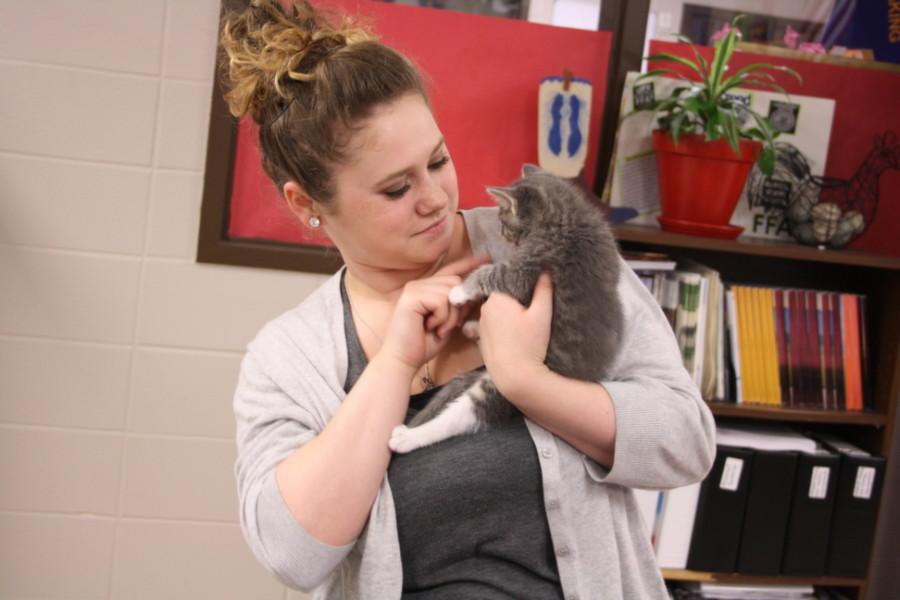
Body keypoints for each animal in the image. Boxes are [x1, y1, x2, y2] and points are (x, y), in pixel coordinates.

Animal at [390, 165, 624, 454]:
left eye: (504, 221)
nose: (503, 234)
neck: (568, 217)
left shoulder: (530, 268)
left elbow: (491, 273)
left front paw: (458, 291)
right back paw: (473, 329)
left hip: (500, 389)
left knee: (462, 416)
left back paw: (407, 438)